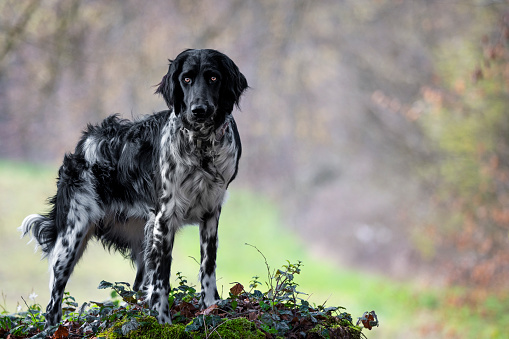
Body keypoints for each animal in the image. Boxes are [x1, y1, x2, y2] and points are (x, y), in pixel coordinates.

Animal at [19, 48, 248, 326]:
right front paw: (163, 323)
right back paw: (52, 329)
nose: (199, 110)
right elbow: (161, 282)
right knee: (53, 304)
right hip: (71, 238)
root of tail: (83, 144)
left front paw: (211, 308)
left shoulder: (211, 213)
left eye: (214, 78)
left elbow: (208, 267)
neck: (201, 146)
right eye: (186, 79)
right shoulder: (164, 219)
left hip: (141, 238)